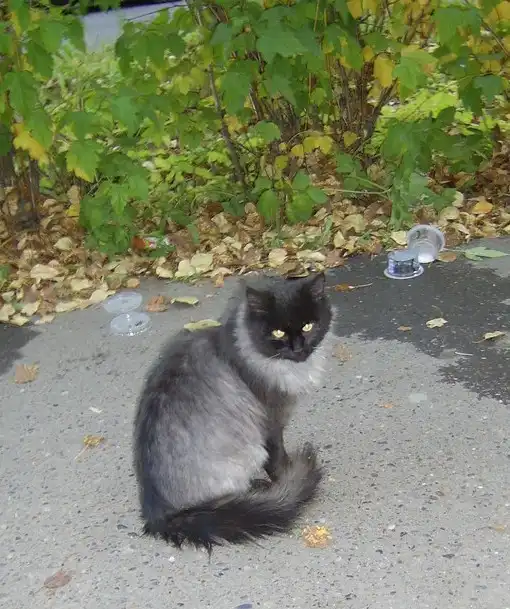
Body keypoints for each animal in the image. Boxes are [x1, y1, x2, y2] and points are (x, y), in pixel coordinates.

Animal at [133, 271, 334, 552]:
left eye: (308, 326)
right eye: (278, 332)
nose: (298, 348)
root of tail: (161, 515)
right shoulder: (271, 425)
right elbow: (277, 460)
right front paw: (286, 475)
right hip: (245, 455)